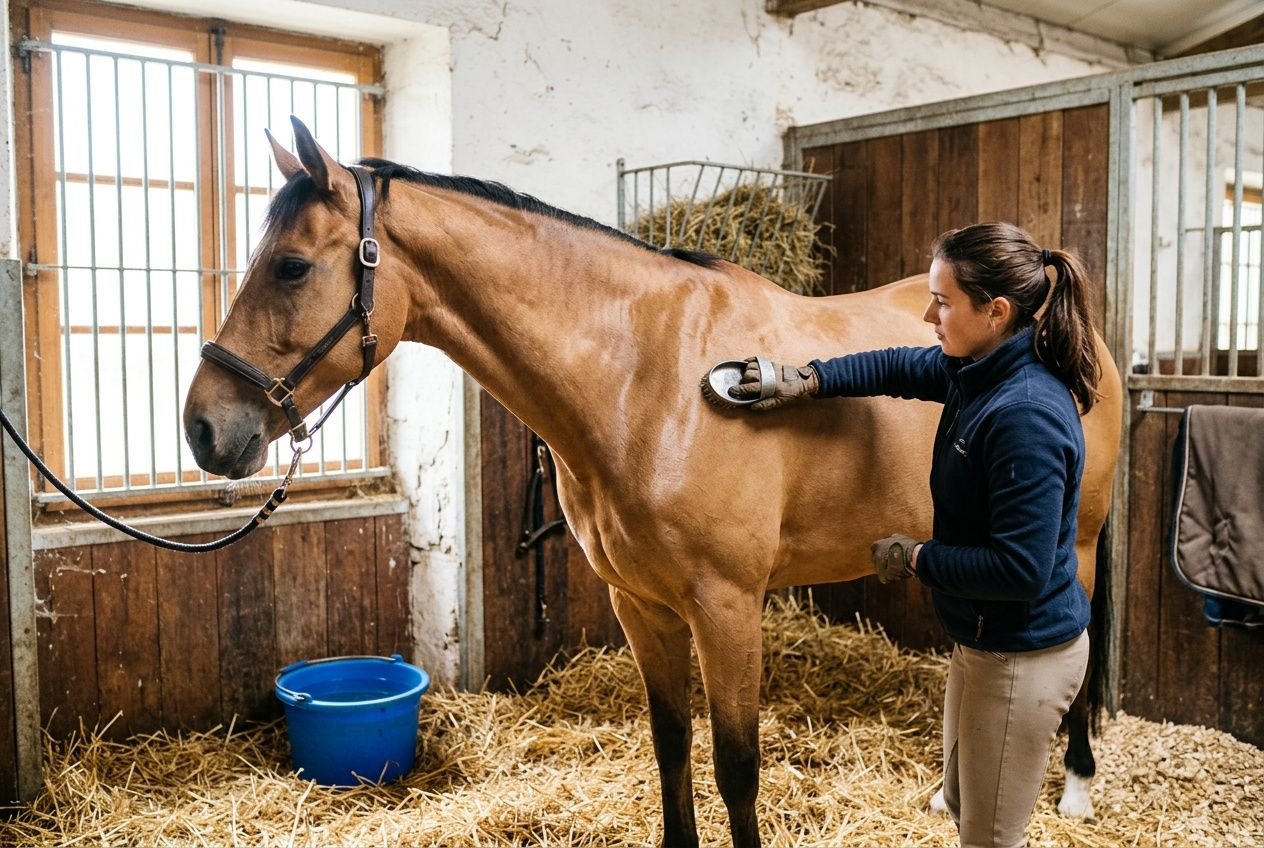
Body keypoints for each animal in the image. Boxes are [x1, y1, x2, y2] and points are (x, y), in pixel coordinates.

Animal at [183, 117, 1122, 848]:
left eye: (292, 266)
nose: (203, 427)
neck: (647, 377)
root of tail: (1076, 344)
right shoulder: (641, 604)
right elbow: (671, 745)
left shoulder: (728, 606)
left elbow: (736, 766)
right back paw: (942, 793)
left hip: (1071, 547)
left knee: (1064, 651)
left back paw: (1077, 786)